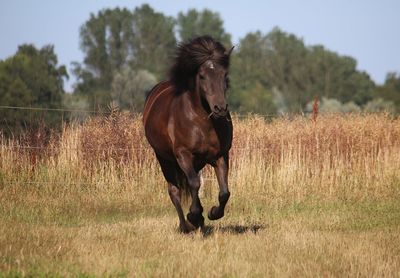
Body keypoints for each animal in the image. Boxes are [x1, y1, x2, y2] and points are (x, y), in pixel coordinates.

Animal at [143, 36, 234, 232]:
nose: (220, 109)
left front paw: (212, 213)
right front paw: (194, 215)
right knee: (174, 190)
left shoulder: (220, 156)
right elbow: (194, 184)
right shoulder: (183, 155)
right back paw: (186, 225)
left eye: (225, 75)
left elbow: (224, 192)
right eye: (202, 76)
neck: (202, 122)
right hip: (165, 159)